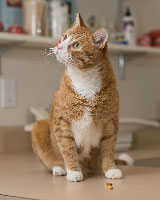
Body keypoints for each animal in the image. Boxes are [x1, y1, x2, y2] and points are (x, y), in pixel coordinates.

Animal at [31, 12, 122, 181]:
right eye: (65, 36)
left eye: (77, 45)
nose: (59, 46)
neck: (84, 77)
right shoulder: (62, 122)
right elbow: (67, 148)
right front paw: (73, 171)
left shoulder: (111, 122)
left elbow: (109, 148)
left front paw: (110, 169)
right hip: (39, 126)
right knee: (51, 160)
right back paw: (59, 168)